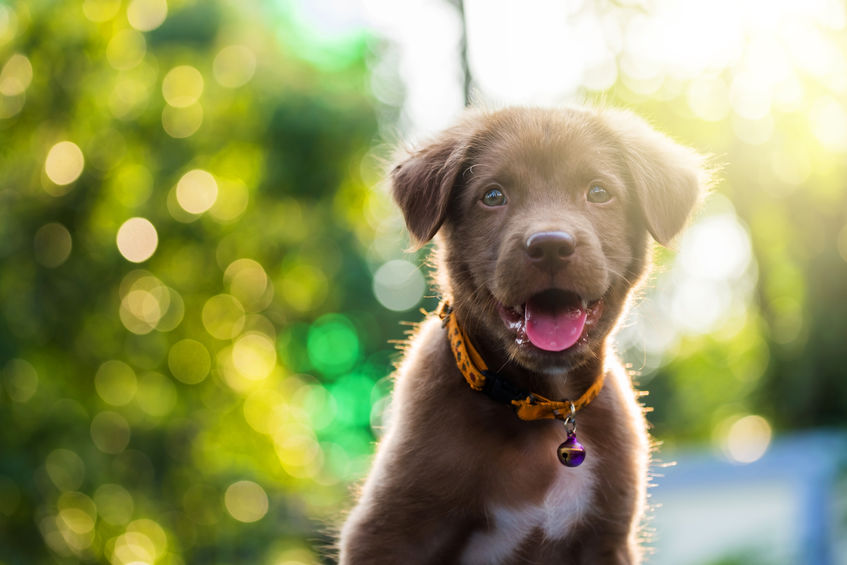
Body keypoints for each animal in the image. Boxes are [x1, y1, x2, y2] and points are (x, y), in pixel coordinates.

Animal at [340, 107, 708, 564]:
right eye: (493, 196)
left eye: (599, 192)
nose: (550, 246)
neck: (544, 407)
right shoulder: (387, 533)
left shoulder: (608, 539)